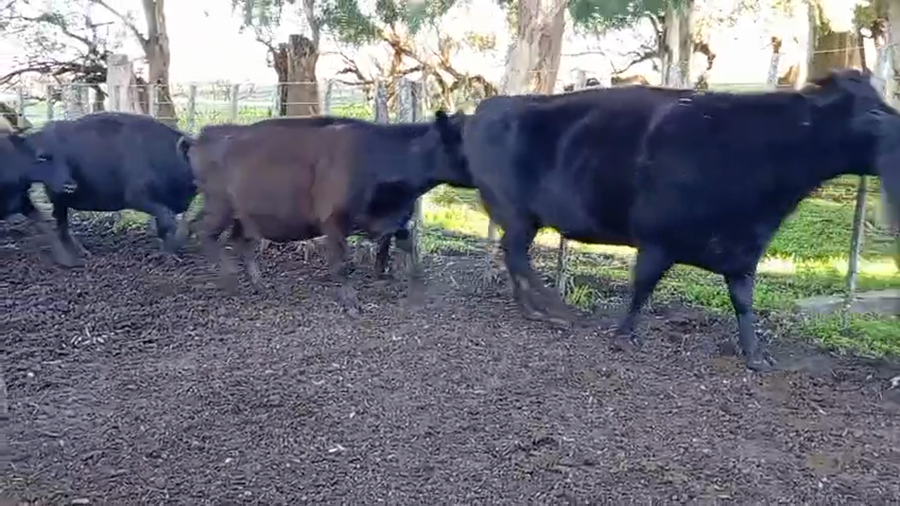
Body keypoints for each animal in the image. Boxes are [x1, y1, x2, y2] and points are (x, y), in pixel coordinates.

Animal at [23, 112, 197, 267]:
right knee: (61, 223)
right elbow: (167, 221)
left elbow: (164, 225)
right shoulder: (138, 197)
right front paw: (168, 255)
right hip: (58, 197)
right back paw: (79, 252)